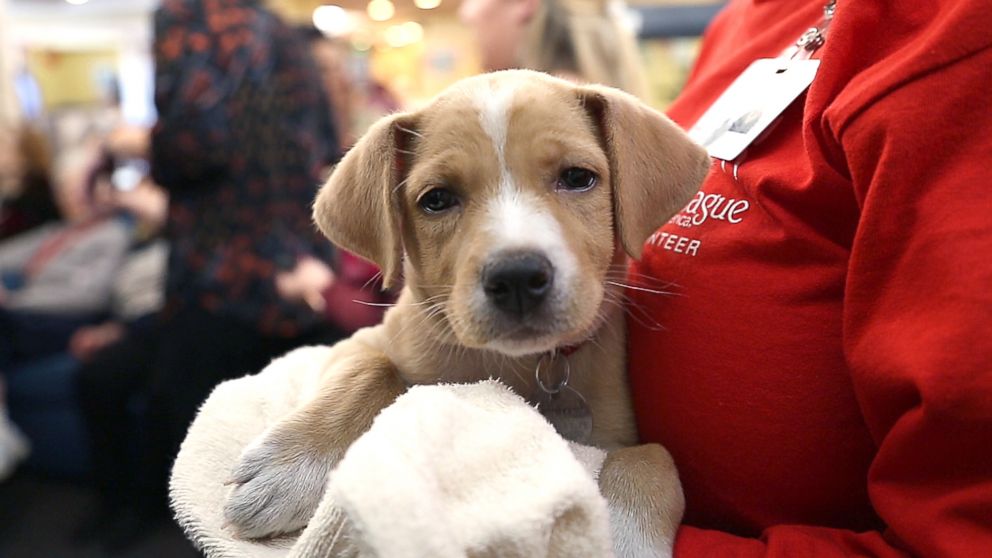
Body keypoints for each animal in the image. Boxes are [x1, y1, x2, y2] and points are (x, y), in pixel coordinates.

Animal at [222, 70, 708, 556]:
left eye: (577, 177)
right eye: (436, 199)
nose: (517, 277)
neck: (522, 366)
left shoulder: (617, 435)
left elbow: (652, 456)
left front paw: (628, 537)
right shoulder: (356, 344)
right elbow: (373, 369)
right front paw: (291, 465)